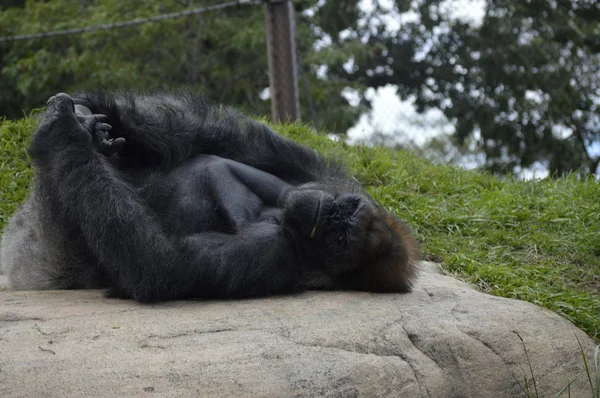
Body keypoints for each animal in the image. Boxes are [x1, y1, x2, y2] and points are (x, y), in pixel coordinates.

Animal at [0, 91, 420, 302]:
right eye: (344, 210)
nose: (328, 211)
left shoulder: (273, 255)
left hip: (49, 255)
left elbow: (161, 263)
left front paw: (64, 133)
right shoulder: (323, 173)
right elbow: (224, 138)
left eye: (339, 237)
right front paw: (99, 117)